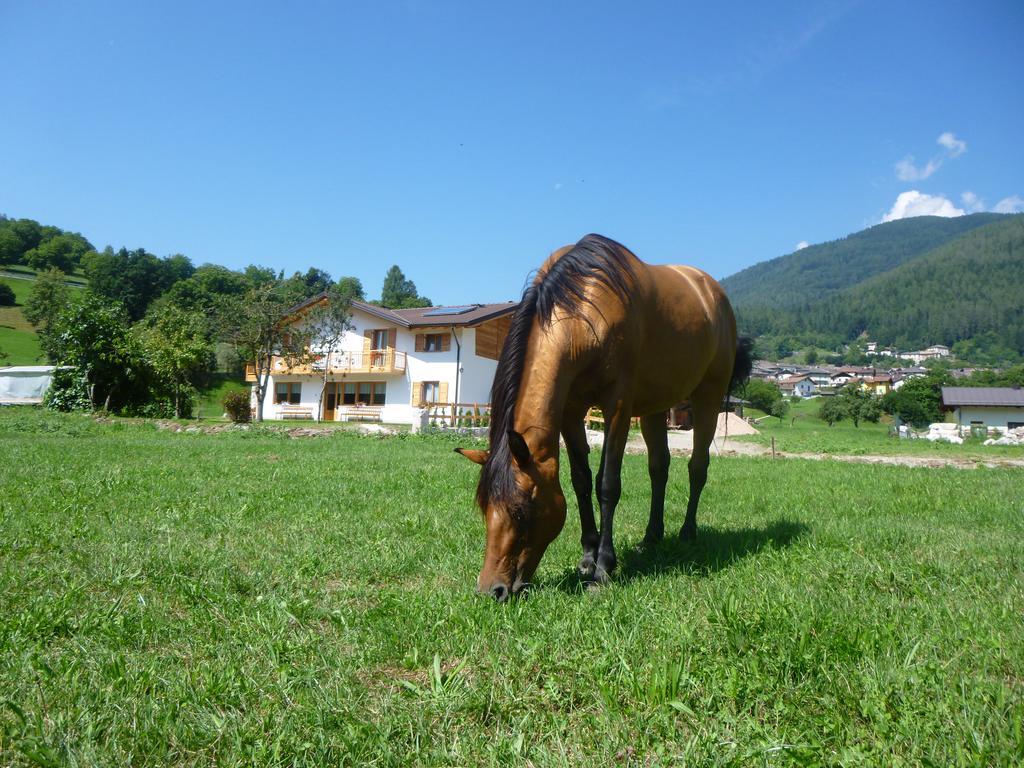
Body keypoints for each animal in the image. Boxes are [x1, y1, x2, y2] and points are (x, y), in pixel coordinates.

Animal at [458, 233, 753, 602]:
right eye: (485, 507)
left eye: (521, 510)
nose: (491, 590)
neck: (584, 311)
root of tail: (712, 292)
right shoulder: (570, 411)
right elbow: (581, 481)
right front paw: (588, 555)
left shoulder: (618, 408)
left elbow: (607, 484)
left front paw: (603, 568)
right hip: (656, 407)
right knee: (659, 468)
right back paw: (652, 536)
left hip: (707, 399)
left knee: (697, 467)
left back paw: (687, 533)